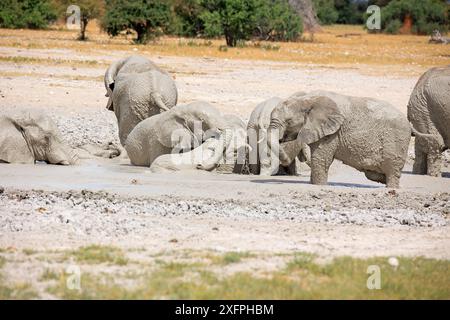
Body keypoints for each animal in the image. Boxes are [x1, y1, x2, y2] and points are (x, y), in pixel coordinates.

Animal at [268, 90, 412, 189]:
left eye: (289, 121)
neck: (307, 99)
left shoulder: (331, 133)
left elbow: (320, 159)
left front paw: (318, 186)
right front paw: (312, 184)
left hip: (396, 141)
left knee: (392, 170)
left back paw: (392, 188)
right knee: (374, 174)